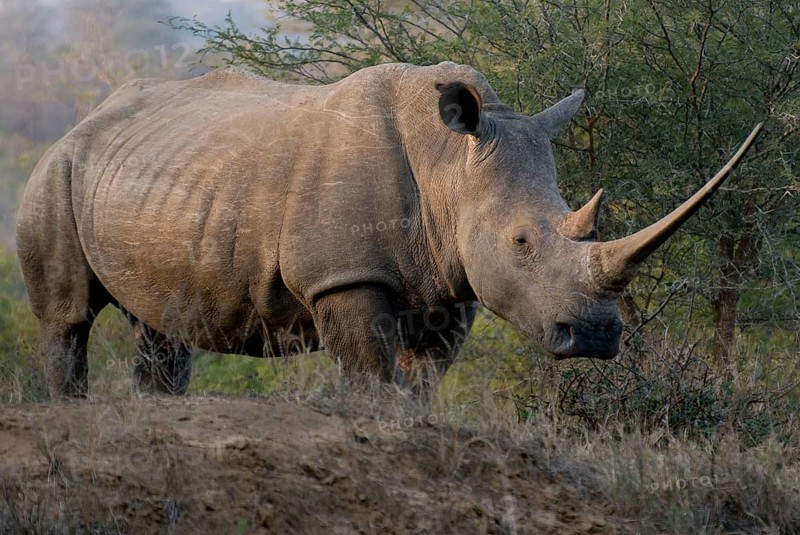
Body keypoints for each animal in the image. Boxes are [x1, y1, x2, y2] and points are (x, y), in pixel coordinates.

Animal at [16, 62, 761, 398]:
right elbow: (372, 376)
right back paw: (70, 407)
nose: (600, 336)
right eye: (521, 242)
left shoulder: (450, 282)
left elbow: (421, 383)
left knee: (161, 328)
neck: (449, 166)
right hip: (56, 171)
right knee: (67, 317)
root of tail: (84, 120)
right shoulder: (346, 278)